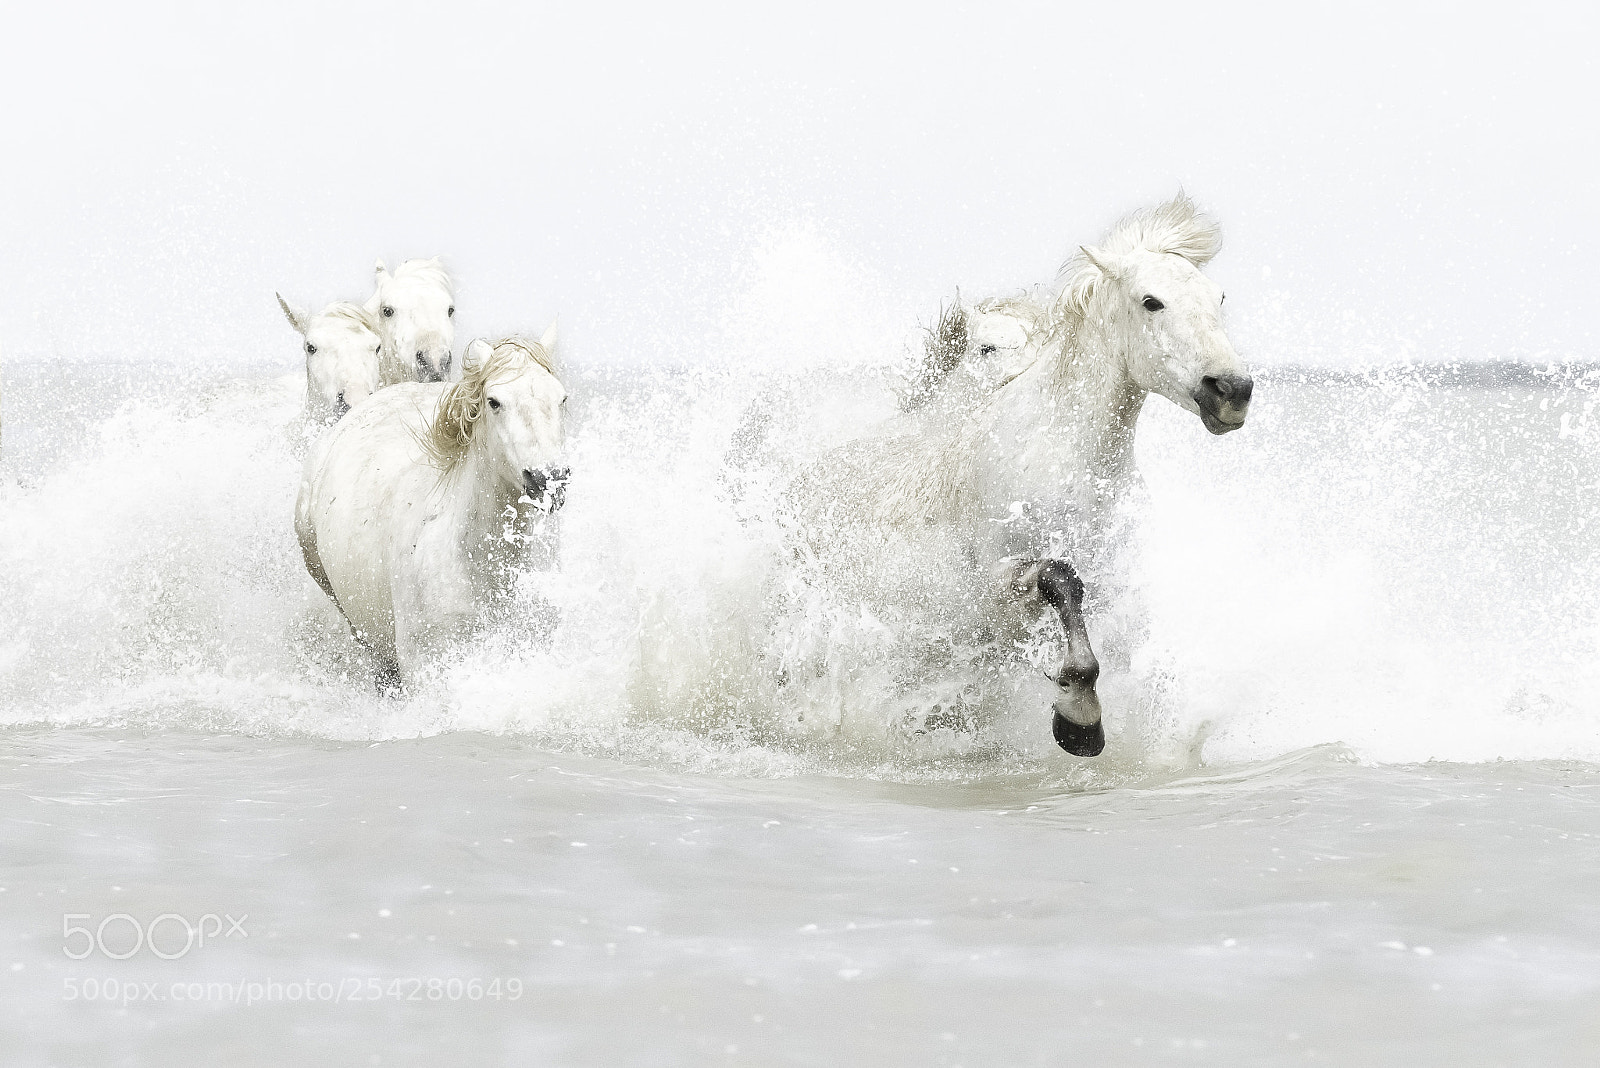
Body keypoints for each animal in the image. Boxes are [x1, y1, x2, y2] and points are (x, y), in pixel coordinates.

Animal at [783, 193, 1252, 757]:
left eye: (1218, 298)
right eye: (1151, 301)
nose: (1231, 390)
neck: (1068, 461)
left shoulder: (1115, 588)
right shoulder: (992, 588)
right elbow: (1062, 581)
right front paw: (1079, 721)